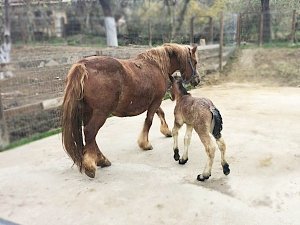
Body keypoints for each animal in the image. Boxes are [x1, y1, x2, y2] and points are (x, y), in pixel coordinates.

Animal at [62, 43, 200, 178]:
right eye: (195, 61)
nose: (197, 80)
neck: (156, 65)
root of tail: (83, 66)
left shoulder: (154, 102)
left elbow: (160, 113)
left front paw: (166, 131)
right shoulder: (156, 101)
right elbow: (149, 121)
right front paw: (145, 144)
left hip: (88, 112)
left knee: (91, 136)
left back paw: (101, 160)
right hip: (100, 113)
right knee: (90, 132)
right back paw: (91, 165)